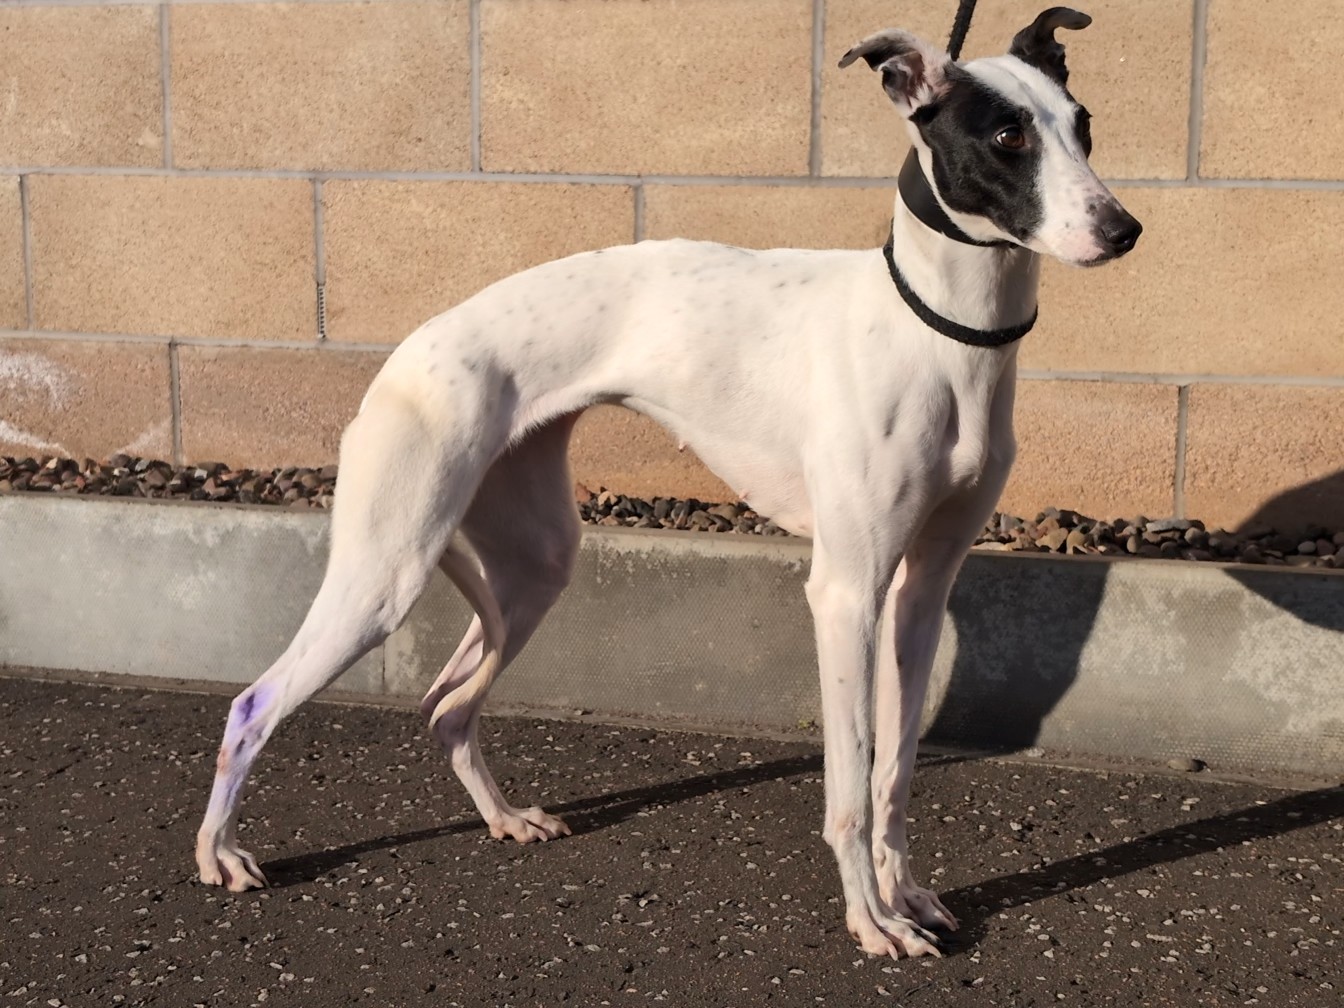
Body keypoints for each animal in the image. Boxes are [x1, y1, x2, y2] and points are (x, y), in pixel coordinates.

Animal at [198, 9, 1139, 962]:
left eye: (1083, 123)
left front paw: (904, 893)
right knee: (255, 704)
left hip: (533, 564)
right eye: (1008, 136)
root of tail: (407, 353)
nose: (1124, 230)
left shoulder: (920, 589)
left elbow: (894, 774)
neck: (936, 331)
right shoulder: (846, 593)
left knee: (449, 707)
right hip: (385, 573)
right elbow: (847, 785)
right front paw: (870, 921)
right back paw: (220, 854)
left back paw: (505, 818)